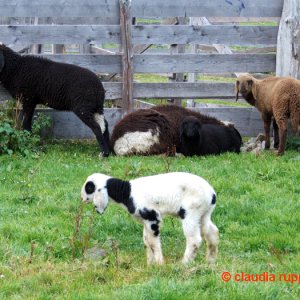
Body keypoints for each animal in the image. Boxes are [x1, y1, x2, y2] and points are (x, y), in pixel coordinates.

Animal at [81, 171, 219, 264]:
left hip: (190, 211)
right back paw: (211, 261)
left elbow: (153, 243)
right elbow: (146, 241)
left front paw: (159, 264)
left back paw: (184, 263)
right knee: (212, 232)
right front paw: (150, 264)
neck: (127, 193)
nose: (81, 198)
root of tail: (212, 194)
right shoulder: (145, 221)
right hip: (203, 213)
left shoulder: (152, 217)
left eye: (89, 187)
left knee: (194, 240)